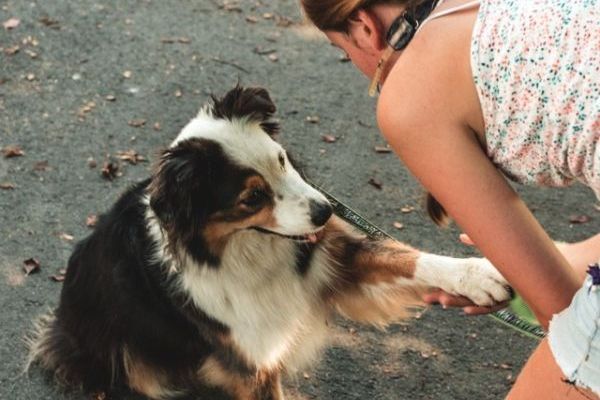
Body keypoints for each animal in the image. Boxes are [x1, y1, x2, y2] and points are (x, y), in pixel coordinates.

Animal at [25, 86, 508, 398]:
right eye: (252, 198)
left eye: (280, 159)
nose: (325, 211)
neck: (249, 254)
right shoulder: (251, 360)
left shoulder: (329, 256)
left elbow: (407, 257)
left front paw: (476, 274)